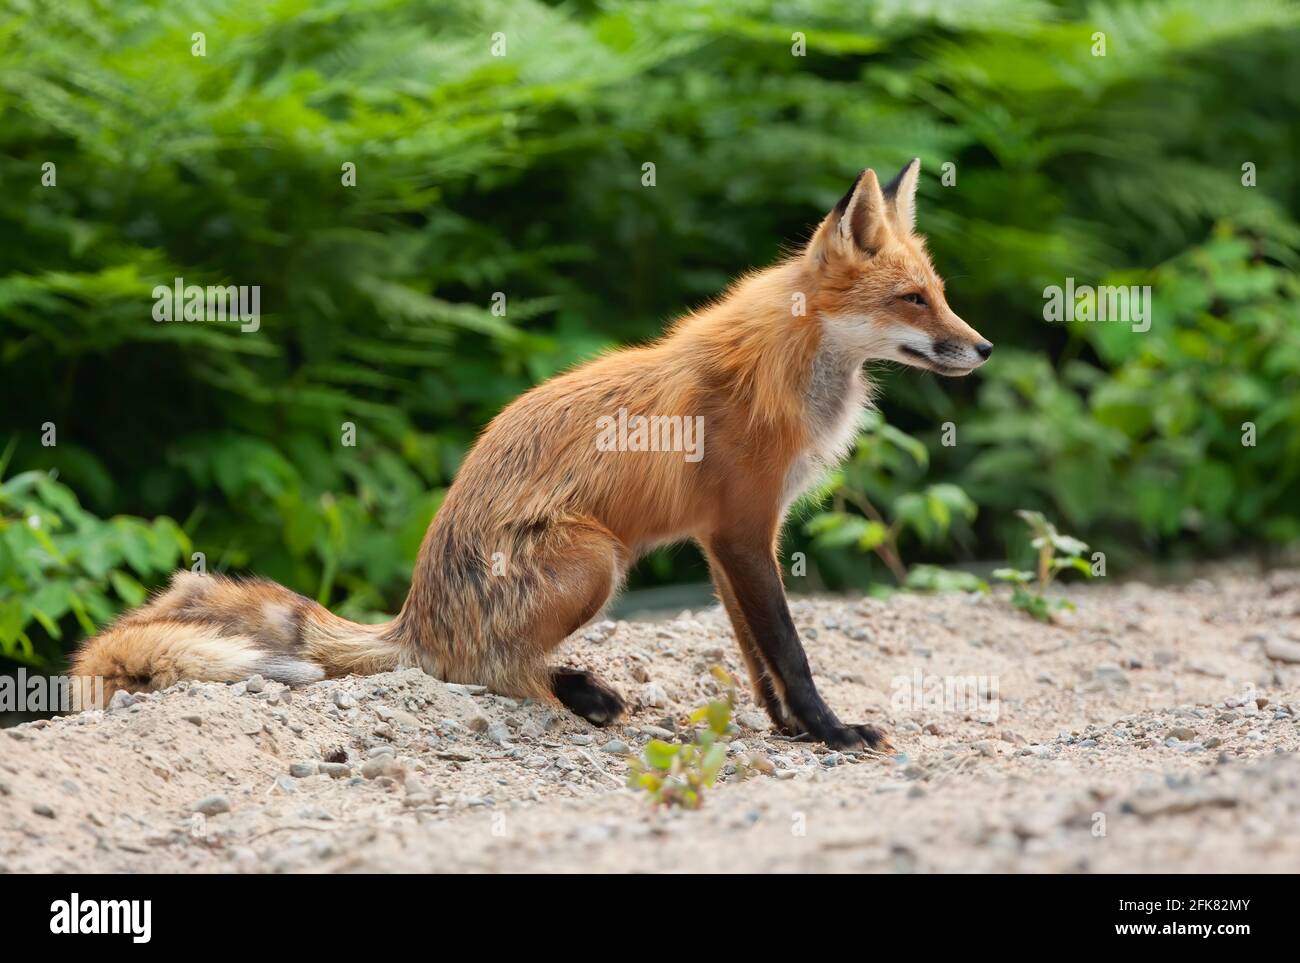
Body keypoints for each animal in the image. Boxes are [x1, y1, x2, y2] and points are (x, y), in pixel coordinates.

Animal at [71, 159, 991, 748]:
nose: (981, 348)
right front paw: (831, 732)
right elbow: (790, 652)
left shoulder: (725, 539)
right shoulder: (741, 528)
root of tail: (413, 619)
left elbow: (757, 658)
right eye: (913, 299)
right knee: (487, 674)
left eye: (940, 293)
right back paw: (576, 698)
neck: (793, 367)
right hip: (594, 558)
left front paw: (790, 731)